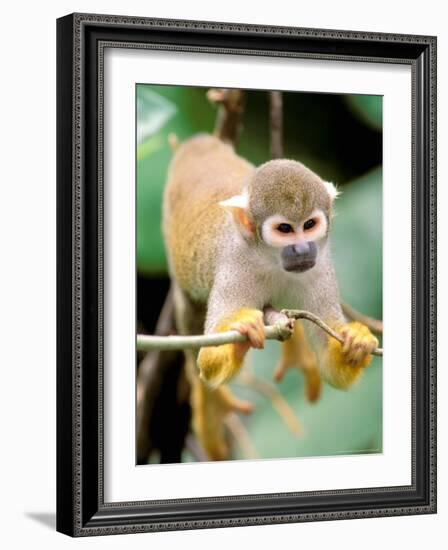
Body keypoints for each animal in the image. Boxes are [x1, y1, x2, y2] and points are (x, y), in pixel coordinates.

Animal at [161, 135, 378, 462]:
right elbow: (208, 357)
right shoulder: (234, 268)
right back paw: (214, 405)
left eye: (309, 225)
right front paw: (243, 332)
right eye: (285, 229)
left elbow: (333, 368)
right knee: (190, 324)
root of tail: (198, 145)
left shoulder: (321, 267)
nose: (301, 249)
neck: (271, 259)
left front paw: (358, 341)